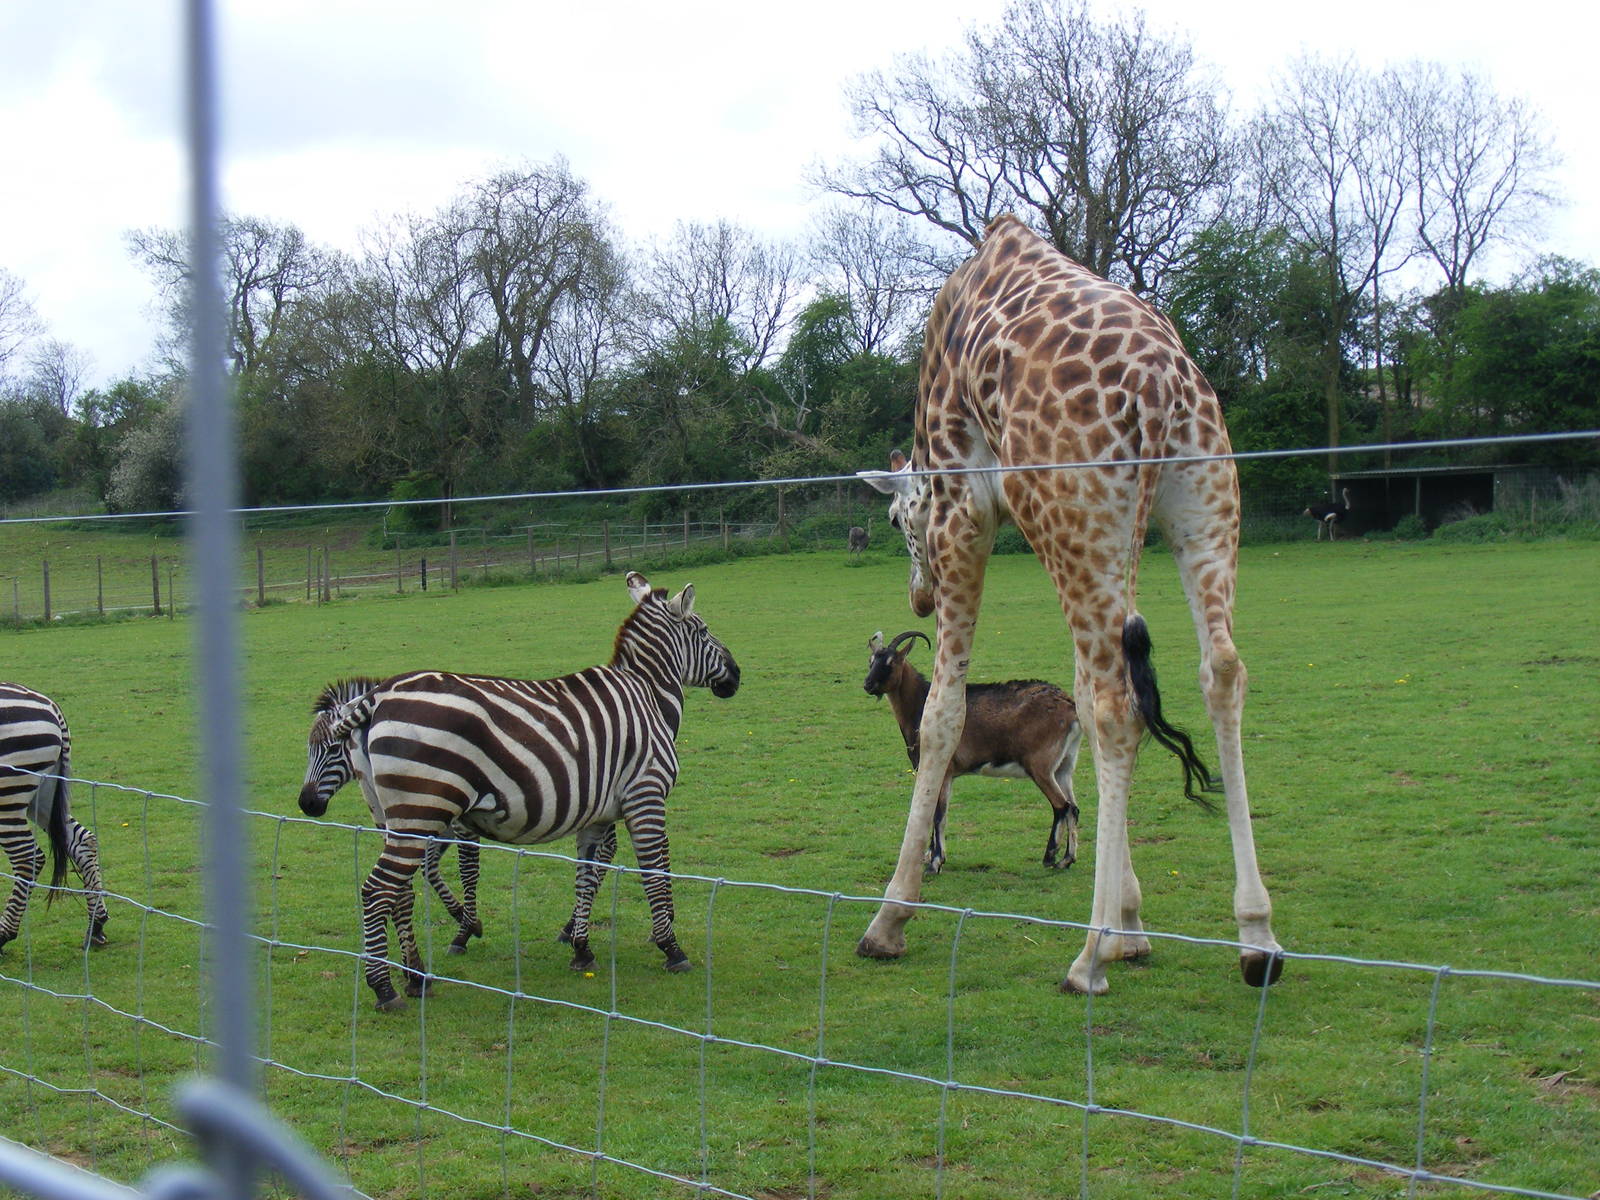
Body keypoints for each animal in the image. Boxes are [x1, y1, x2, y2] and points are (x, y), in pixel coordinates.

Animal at [0, 683, 110, 953]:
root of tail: (52, 708)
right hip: (44, 791)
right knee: (83, 840)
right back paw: (96, 925)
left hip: (8, 796)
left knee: (28, 858)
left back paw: (3, 935)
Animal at [301, 677, 484, 955]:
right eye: (309, 749)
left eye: (333, 749)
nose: (306, 804)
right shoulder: (435, 825)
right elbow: (428, 868)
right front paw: (462, 916)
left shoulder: (460, 826)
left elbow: (468, 870)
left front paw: (465, 930)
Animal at [863, 630, 1082, 873]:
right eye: (871, 661)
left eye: (891, 663)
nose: (868, 684)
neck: (923, 705)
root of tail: (1069, 707)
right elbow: (939, 813)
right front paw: (931, 856)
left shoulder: (942, 769)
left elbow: (937, 815)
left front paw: (935, 863)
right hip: (1064, 765)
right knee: (1073, 808)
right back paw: (1067, 859)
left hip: (1041, 766)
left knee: (1061, 806)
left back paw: (1050, 857)